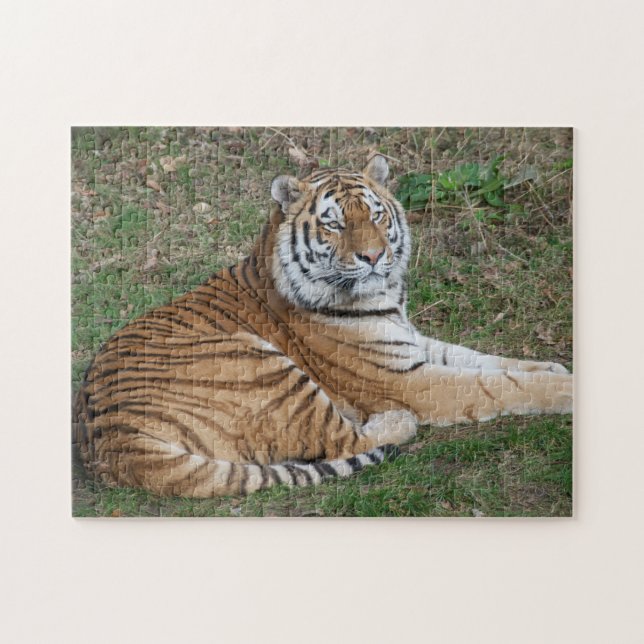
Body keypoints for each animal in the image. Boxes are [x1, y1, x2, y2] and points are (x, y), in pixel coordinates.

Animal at [73, 155, 572, 498]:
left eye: (375, 215)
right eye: (334, 225)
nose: (373, 256)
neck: (384, 299)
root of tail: (116, 445)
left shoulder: (410, 344)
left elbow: (488, 360)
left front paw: (553, 367)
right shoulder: (406, 381)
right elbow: (494, 385)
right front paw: (565, 391)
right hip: (264, 365)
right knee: (343, 439)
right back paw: (394, 420)